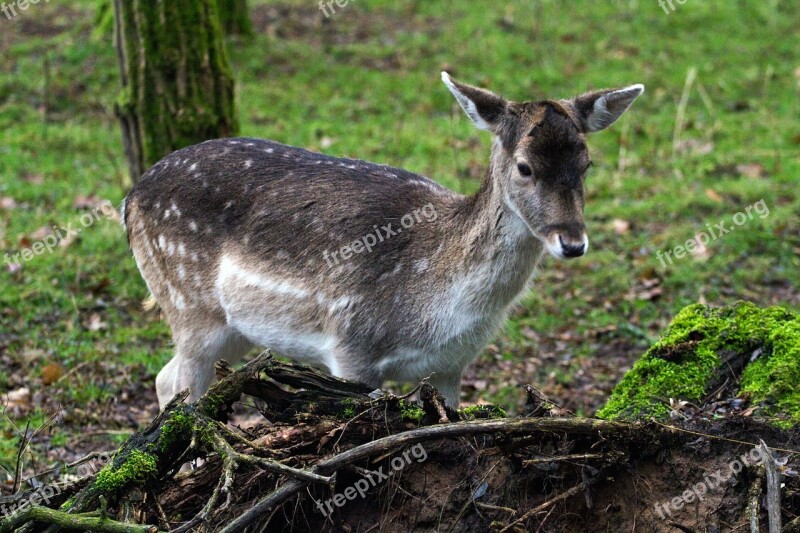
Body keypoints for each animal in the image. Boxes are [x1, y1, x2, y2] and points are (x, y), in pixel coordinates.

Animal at [120, 74, 644, 408]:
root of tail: (129, 198)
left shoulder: (451, 365)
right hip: (187, 302)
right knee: (185, 391)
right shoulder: (352, 346)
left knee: (165, 379)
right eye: (525, 167)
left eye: (587, 164)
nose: (572, 242)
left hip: (234, 328)